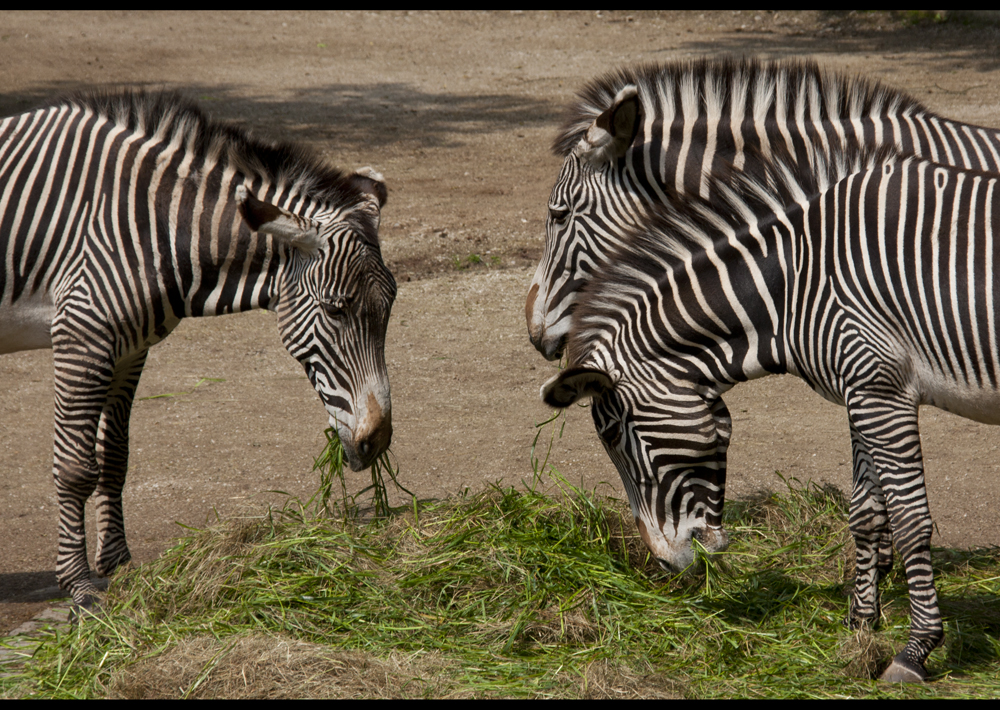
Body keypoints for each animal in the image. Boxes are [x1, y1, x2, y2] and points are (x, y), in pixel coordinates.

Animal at [0, 90, 398, 612]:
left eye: (391, 305)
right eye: (336, 310)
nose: (378, 442)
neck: (154, 225)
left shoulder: (131, 348)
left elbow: (116, 456)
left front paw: (120, 564)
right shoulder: (80, 335)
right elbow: (75, 468)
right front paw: (80, 588)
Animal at [540, 145, 1000, 684]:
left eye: (613, 435)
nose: (664, 565)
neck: (797, 283)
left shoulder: (882, 391)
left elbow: (908, 518)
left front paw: (915, 650)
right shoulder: (861, 390)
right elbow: (866, 512)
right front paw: (860, 628)